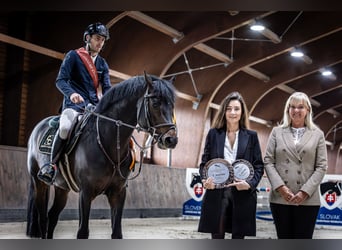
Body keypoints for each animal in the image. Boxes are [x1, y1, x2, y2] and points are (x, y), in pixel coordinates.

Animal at [25, 72, 178, 238]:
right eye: (155, 103)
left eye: (172, 105)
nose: (171, 140)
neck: (108, 142)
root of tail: (39, 126)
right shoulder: (86, 193)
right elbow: (83, 232)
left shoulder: (118, 192)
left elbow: (116, 232)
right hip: (39, 183)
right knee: (43, 218)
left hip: (62, 188)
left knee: (52, 216)